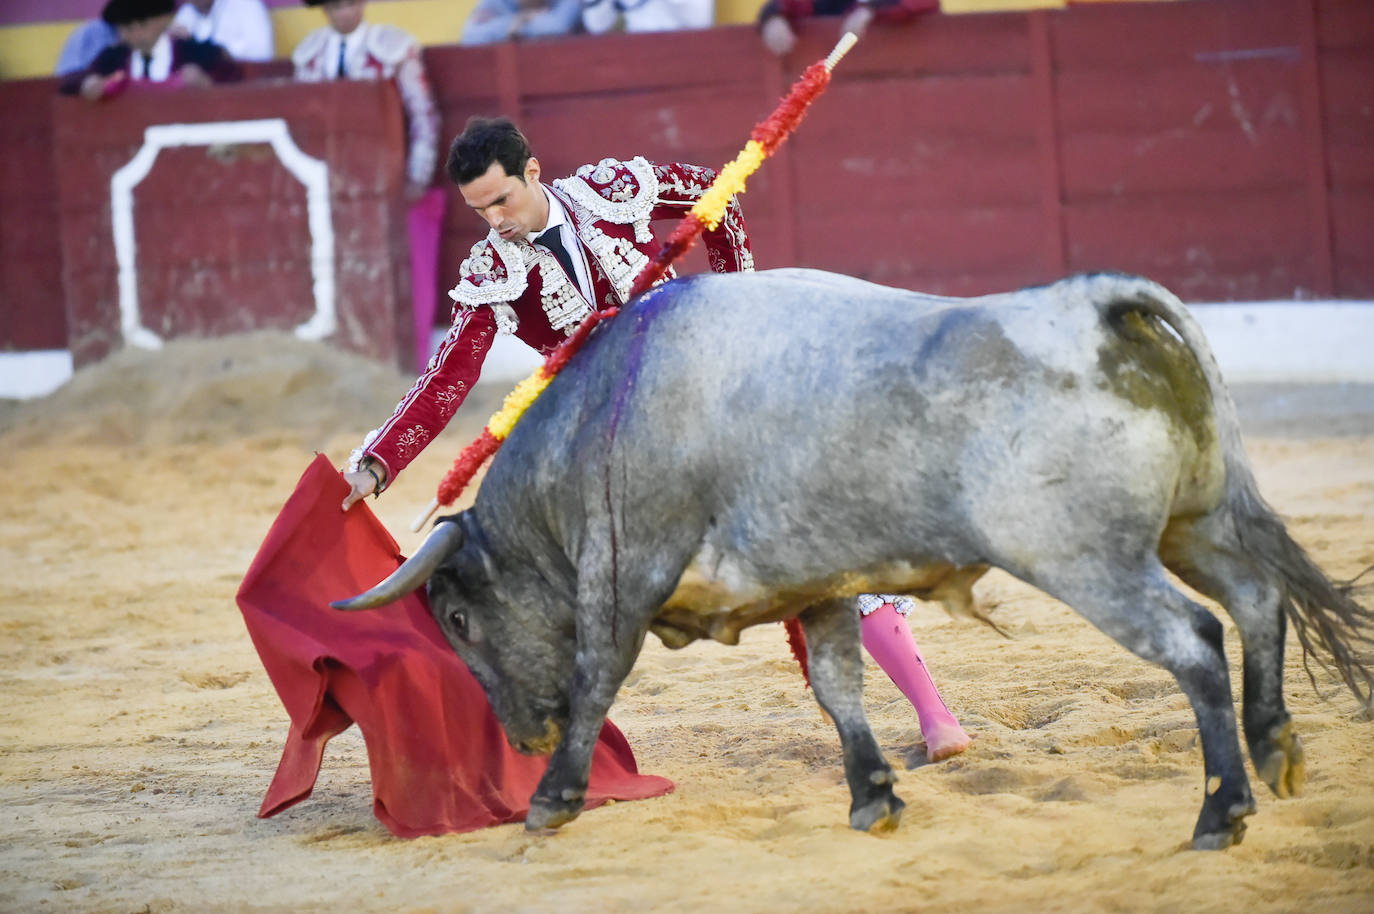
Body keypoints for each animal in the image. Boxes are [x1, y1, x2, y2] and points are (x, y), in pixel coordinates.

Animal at [335, 269, 1374, 846]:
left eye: (458, 617)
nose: (522, 739)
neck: (601, 419)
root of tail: (1091, 306)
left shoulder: (626, 575)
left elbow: (597, 676)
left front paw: (552, 802)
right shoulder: (818, 582)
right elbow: (839, 686)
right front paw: (874, 797)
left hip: (1089, 560)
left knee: (1194, 641)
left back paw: (1222, 810)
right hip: (1196, 522)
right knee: (1257, 599)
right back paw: (1277, 751)